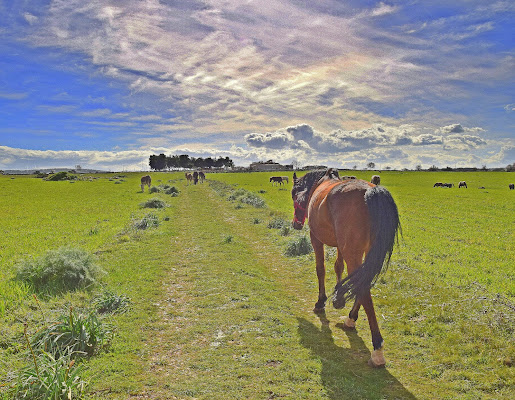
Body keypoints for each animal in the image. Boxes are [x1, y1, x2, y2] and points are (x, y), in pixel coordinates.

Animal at [292, 167, 402, 368]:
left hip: (352, 251)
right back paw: (351, 318)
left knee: (363, 286)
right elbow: (338, 268)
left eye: (294, 195)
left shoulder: (315, 238)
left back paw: (377, 348)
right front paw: (338, 295)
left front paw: (321, 302)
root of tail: (371, 191)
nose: (296, 223)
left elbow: (321, 269)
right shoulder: (340, 245)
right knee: (362, 280)